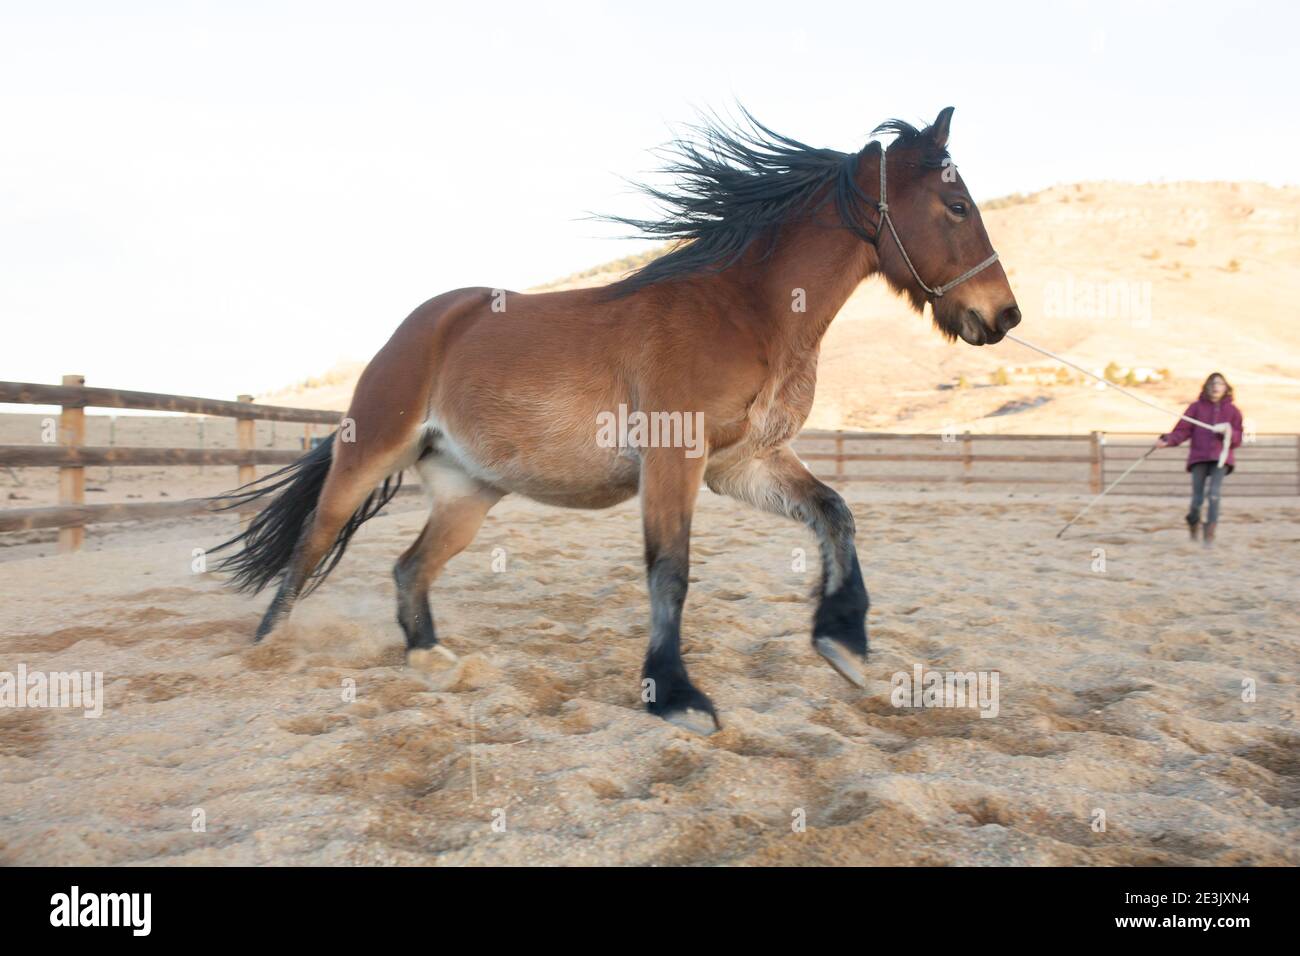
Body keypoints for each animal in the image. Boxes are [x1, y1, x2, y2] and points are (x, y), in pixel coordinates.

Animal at [212, 106, 1019, 734]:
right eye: (956, 207)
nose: (1003, 315)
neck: (744, 311)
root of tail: (424, 323)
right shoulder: (674, 460)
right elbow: (671, 572)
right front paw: (677, 695)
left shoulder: (743, 465)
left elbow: (835, 513)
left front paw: (843, 643)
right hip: (371, 453)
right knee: (312, 544)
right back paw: (268, 650)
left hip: (468, 495)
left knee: (409, 567)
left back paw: (431, 659)